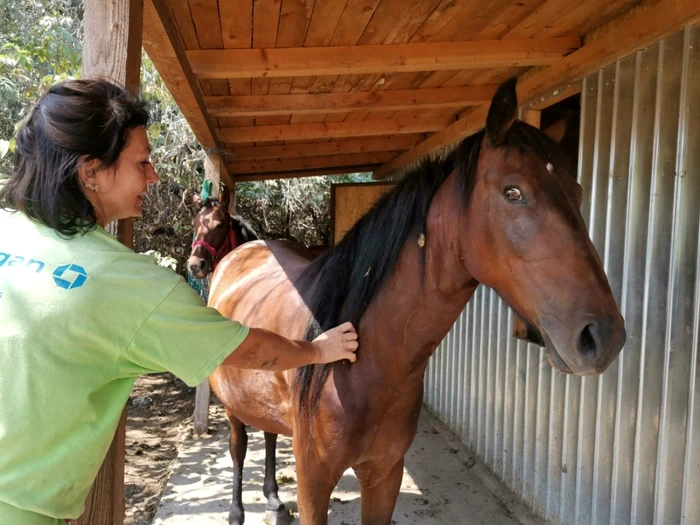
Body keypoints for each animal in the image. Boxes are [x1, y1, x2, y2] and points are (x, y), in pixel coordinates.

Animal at [206, 78, 624, 524]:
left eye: (578, 192)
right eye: (513, 192)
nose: (603, 337)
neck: (362, 362)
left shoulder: (385, 475)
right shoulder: (313, 483)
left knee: (267, 434)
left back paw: (272, 499)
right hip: (231, 407)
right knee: (239, 446)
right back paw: (237, 510)